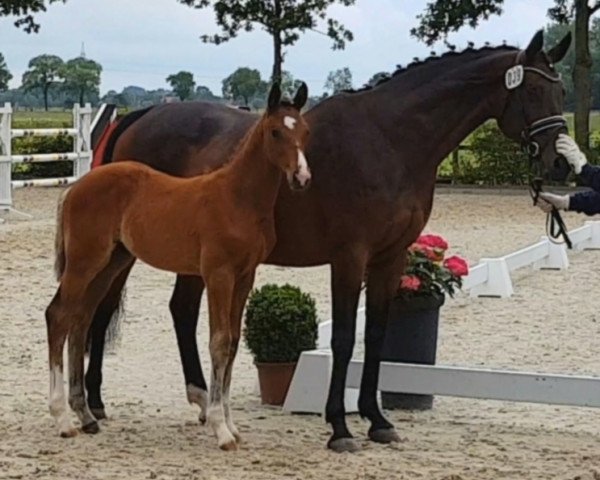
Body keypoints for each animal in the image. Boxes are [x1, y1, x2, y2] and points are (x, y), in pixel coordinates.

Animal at [44, 83, 312, 450]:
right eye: (275, 132)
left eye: (305, 131)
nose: (302, 177)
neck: (236, 196)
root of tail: (75, 188)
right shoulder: (218, 274)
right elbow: (219, 341)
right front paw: (220, 428)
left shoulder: (245, 276)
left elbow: (233, 343)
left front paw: (231, 424)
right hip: (85, 261)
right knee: (58, 316)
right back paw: (62, 420)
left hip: (109, 262)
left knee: (81, 318)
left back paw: (84, 414)